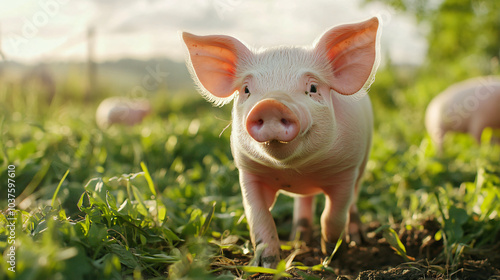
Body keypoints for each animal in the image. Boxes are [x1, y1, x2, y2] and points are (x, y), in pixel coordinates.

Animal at [182, 17, 380, 266]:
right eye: (246, 90)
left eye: (313, 88)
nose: (271, 104)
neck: (295, 170)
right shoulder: (248, 172)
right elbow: (259, 217)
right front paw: (266, 265)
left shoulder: (345, 169)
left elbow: (333, 216)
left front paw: (331, 258)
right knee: (305, 201)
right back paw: (298, 239)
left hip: (363, 161)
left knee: (353, 199)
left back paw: (357, 239)